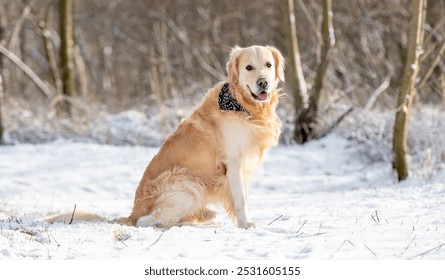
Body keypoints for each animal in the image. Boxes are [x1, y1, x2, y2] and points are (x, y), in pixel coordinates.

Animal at [47, 46, 284, 229]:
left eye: (268, 65)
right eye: (248, 67)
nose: (263, 82)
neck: (243, 105)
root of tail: (132, 213)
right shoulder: (233, 164)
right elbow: (241, 200)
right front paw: (246, 224)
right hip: (188, 183)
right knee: (151, 221)